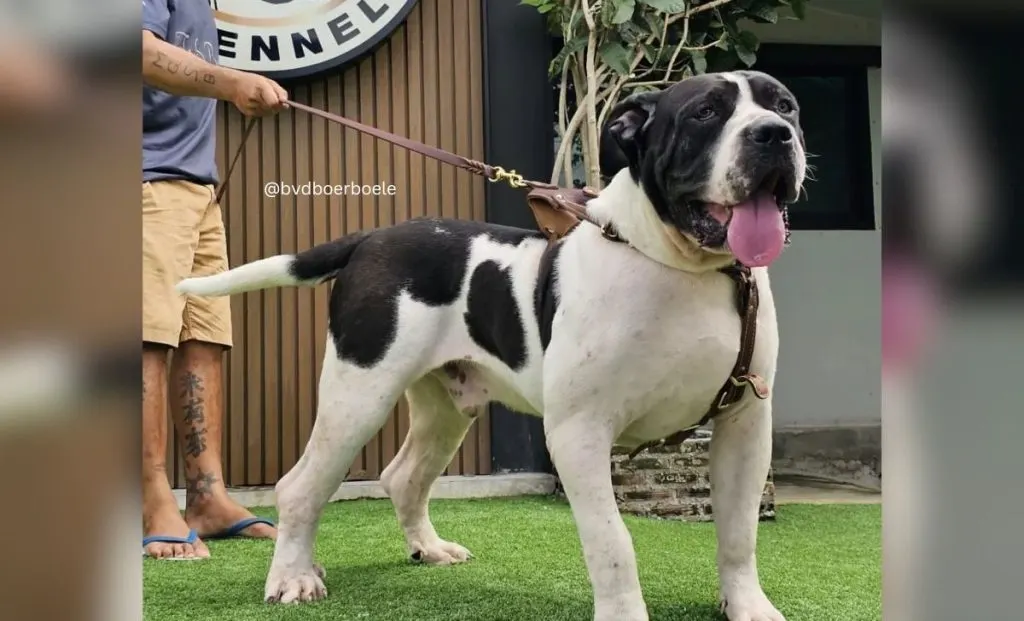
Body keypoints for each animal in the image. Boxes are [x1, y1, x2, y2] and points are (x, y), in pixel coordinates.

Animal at [178, 70, 806, 618]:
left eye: (786, 106)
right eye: (705, 113)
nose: (776, 133)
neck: (683, 266)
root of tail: (372, 237)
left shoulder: (745, 423)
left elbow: (738, 534)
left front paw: (748, 607)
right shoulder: (579, 432)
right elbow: (613, 543)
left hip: (445, 408)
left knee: (402, 476)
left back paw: (426, 549)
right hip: (357, 397)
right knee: (300, 487)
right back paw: (293, 577)